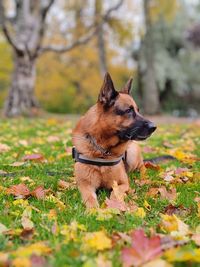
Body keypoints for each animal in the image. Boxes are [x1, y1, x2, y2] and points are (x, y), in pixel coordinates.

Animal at [72, 73, 157, 209]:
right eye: (129, 110)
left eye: (138, 110)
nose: (154, 127)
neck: (102, 152)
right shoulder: (85, 185)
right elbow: (90, 198)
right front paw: (93, 210)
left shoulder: (123, 183)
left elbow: (115, 193)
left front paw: (114, 205)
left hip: (132, 153)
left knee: (142, 165)